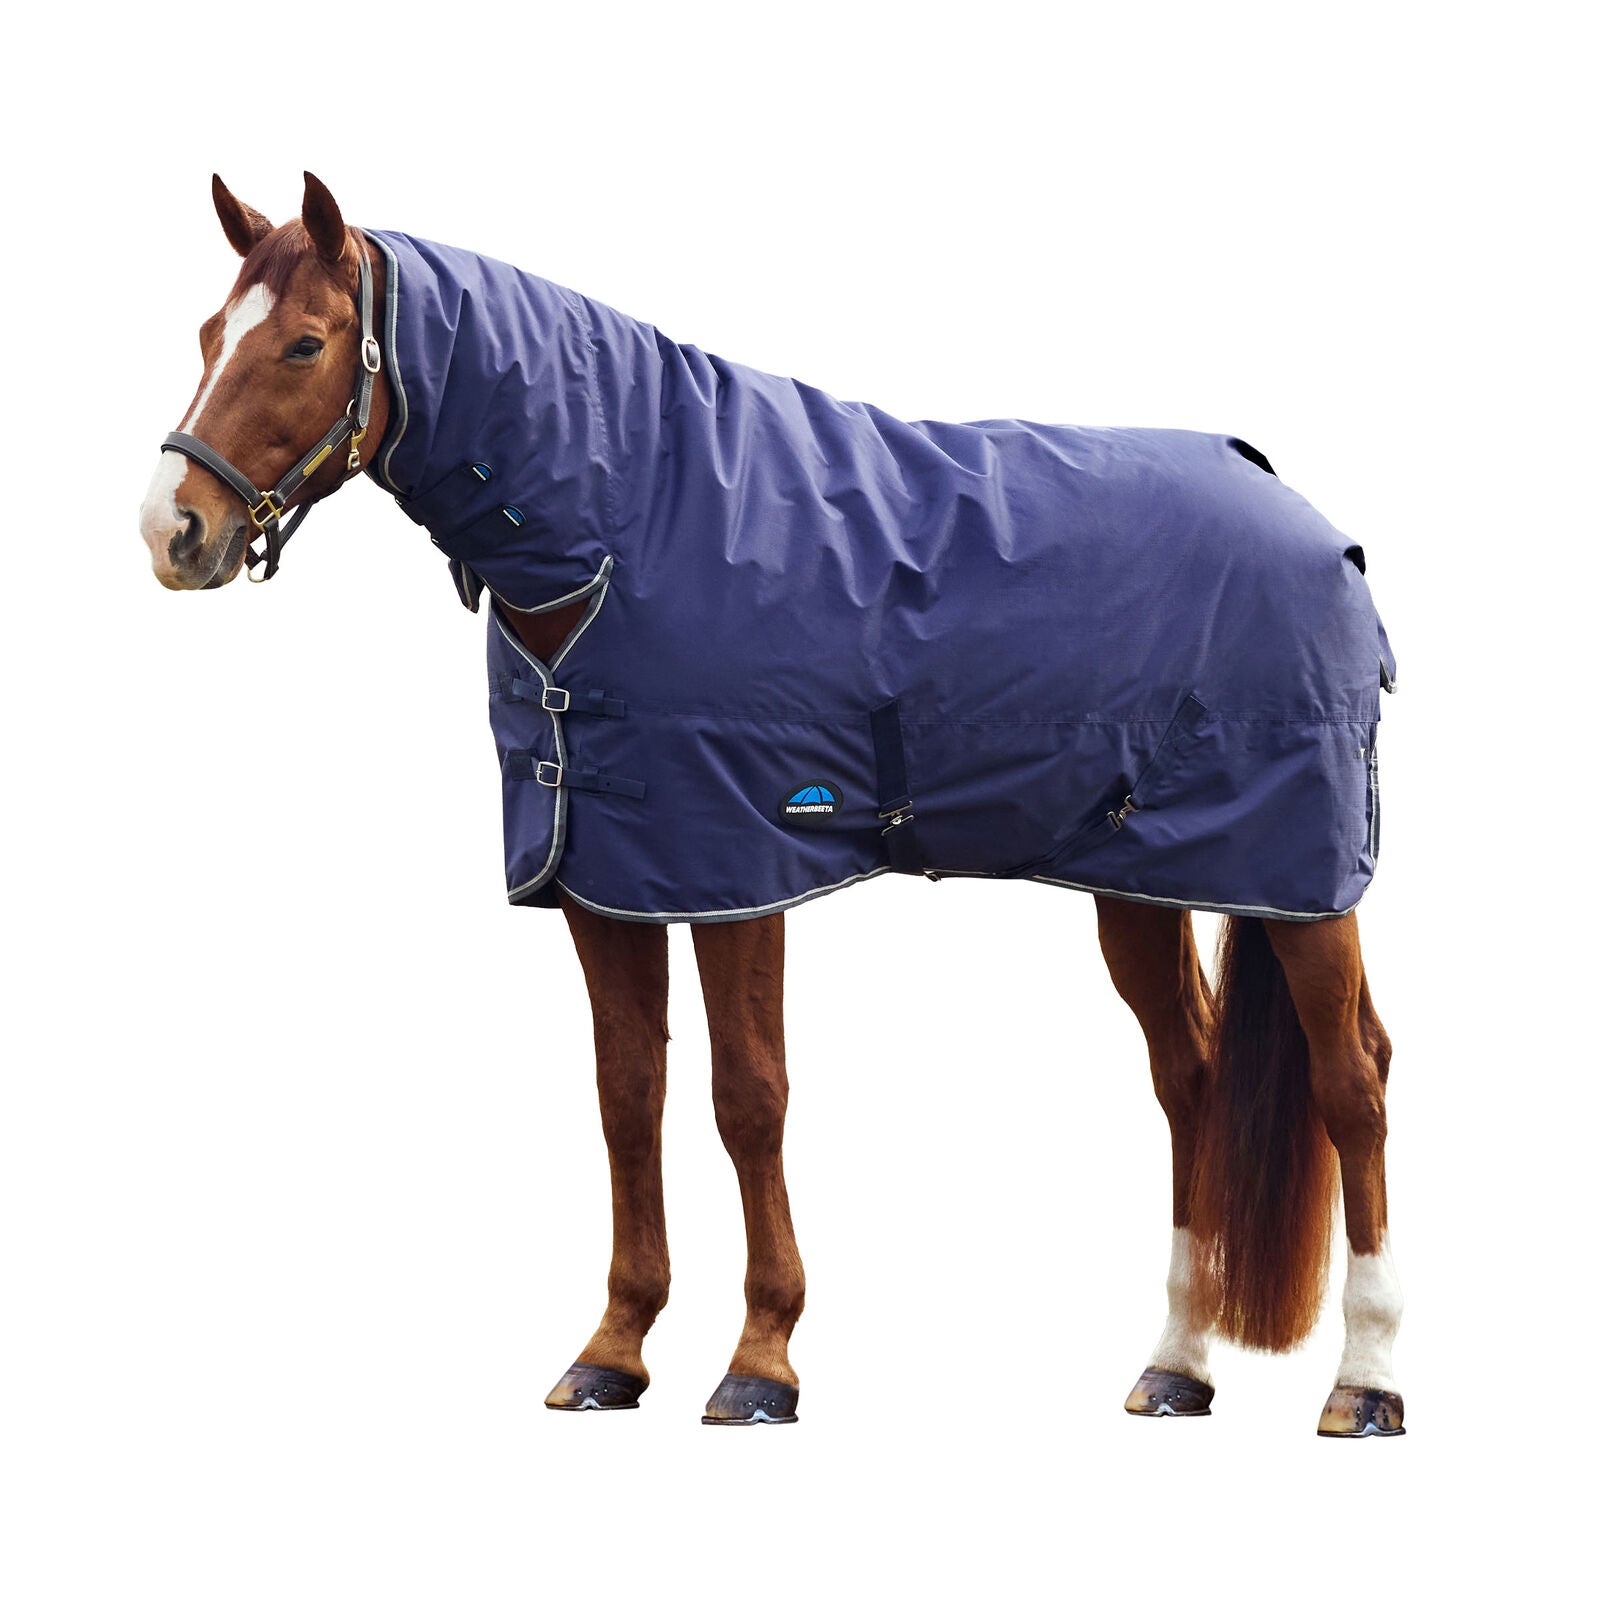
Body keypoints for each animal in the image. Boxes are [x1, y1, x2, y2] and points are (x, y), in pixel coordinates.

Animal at [137, 172, 1404, 1435]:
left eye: (305, 343)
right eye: (206, 336)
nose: (172, 531)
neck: (632, 525)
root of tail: (1308, 519)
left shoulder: (736, 869)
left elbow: (747, 1096)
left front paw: (760, 1360)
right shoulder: (605, 880)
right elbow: (628, 1095)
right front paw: (613, 1350)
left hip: (1303, 882)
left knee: (1353, 1078)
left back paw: (1367, 1379)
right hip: (1139, 880)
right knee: (1189, 1077)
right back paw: (1177, 1364)